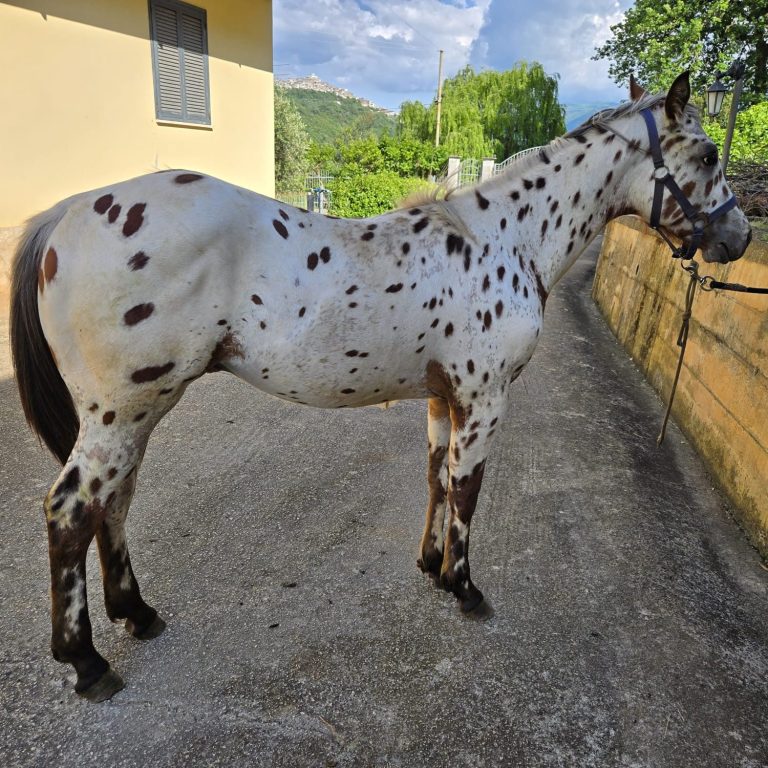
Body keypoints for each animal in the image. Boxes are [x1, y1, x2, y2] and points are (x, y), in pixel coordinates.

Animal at [9, 72, 751, 701]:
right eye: (710, 152)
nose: (739, 238)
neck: (506, 240)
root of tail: (69, 213)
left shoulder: (444, 398)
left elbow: (437, 477)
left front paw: (430, 564)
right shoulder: (484, 399)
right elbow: (467, 490)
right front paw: (463, 586)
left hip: (136, 414)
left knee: (115, 502)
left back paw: (137, 614)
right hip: (121, 412)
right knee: (71, 510)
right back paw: (87, 662)